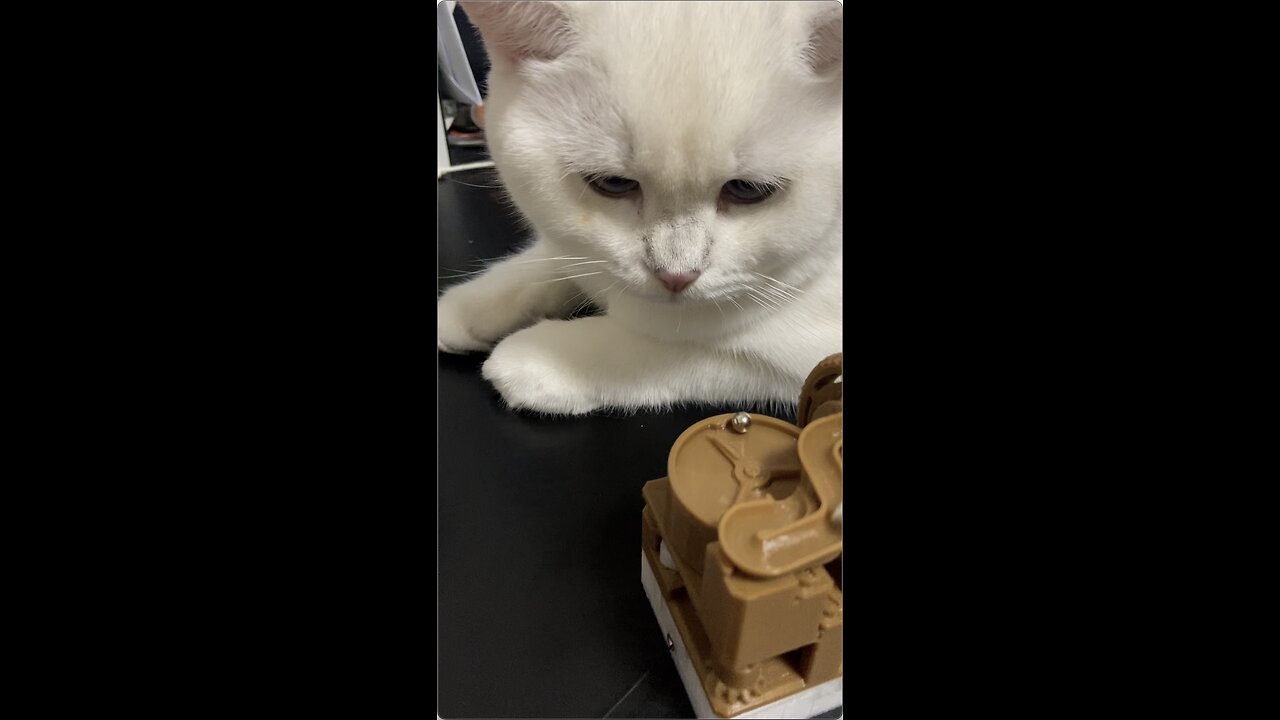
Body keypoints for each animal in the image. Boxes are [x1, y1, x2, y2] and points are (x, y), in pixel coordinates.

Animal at [440, 1, 839, 415]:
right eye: (614, 183)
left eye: (747, 190)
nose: (676, 276)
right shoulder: (578, 250)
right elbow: (552, 260)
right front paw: (471, 303)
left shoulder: (799, 355)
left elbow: (677, 354)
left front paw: (543, 360)